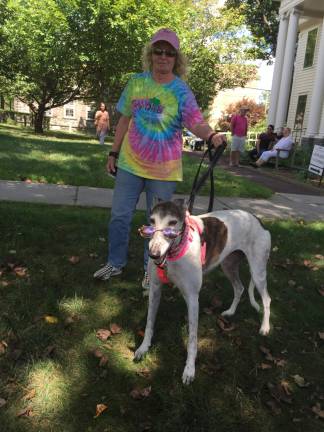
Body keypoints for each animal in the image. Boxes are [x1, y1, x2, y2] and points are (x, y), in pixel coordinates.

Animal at [134, 199, 270, 384]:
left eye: (172, 223)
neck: (173, 253)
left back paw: (265, 327)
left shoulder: (192, 298)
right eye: (151, 222)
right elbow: (149, 323)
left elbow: (192, 338)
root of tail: (258, 219)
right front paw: (143, 347)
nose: (154, 254)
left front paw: (189, 369)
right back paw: (230, 312)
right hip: (229, 264)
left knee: (266, 299)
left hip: (258, 271)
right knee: (239, 288)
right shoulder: (155, 289)